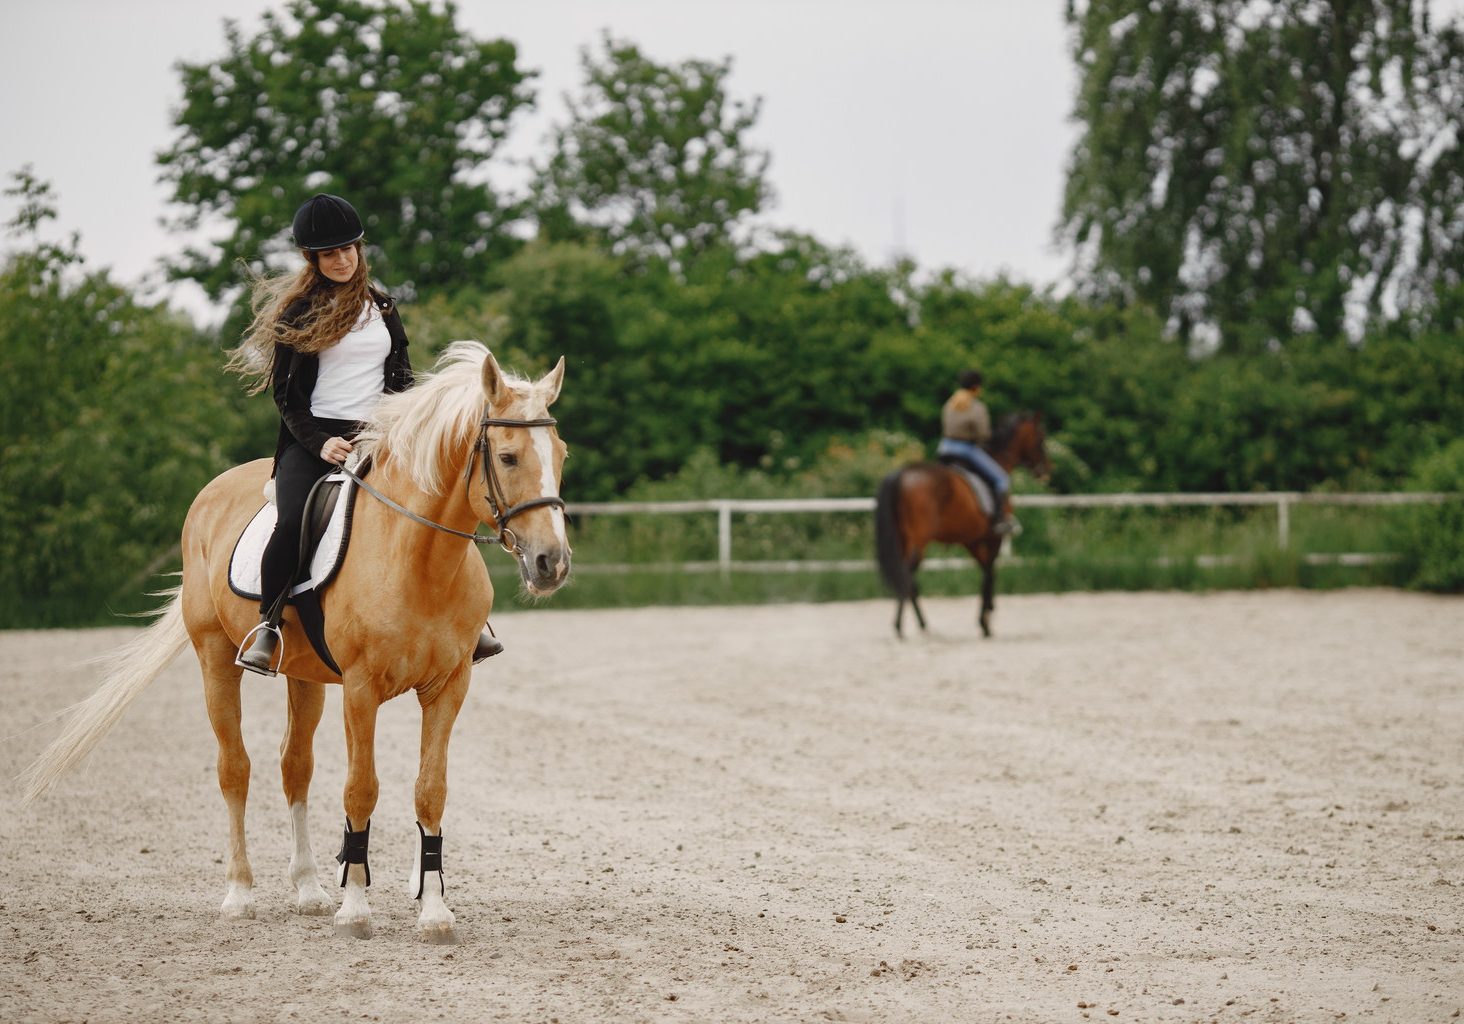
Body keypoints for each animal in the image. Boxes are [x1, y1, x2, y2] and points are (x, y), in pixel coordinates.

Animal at [21, 342, 570, 944]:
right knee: (235, 768)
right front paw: (355, 909)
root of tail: (212, 492)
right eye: (509, 457)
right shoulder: (361, 689)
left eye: (561, 454)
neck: (418, 557)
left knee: (295, 767)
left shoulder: (449, 685)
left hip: (306, 677)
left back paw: (308, 889)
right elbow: (360, 788)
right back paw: (240, 893)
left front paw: (433, 911)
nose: (552, 562)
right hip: (216, 658)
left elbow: (430, 789)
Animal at [874, 413, 1051, 639]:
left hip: (903, 539)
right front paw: (986, 620)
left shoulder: (972, 540)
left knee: (907, 577)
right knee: (906, 573)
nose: (1046, 471)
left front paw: (986, 617)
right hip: (919, 540)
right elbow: (990, 573)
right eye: (1041, 439)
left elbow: (986, 571)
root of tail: (902, 473)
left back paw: (920, 625)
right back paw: (903, 625)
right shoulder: (993, 537)